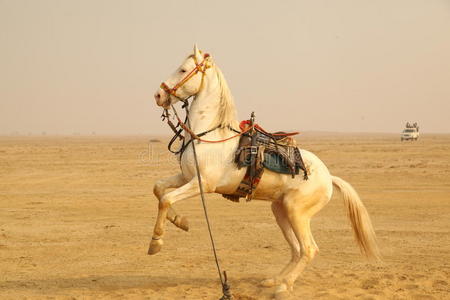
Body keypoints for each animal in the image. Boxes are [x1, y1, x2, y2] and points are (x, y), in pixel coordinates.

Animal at [151, 45, 380, 298]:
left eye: (183, 69)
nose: (158, 95)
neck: (209, 137)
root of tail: (329, 178)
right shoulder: (187, 177)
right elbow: (159, 190)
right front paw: (180, 221)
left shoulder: (202, 184)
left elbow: (166, 199)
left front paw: (156, 242)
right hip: (280, 210)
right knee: (296, 249)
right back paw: (275, 280)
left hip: (297, 212)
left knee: (309, 249)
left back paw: (283, 286)